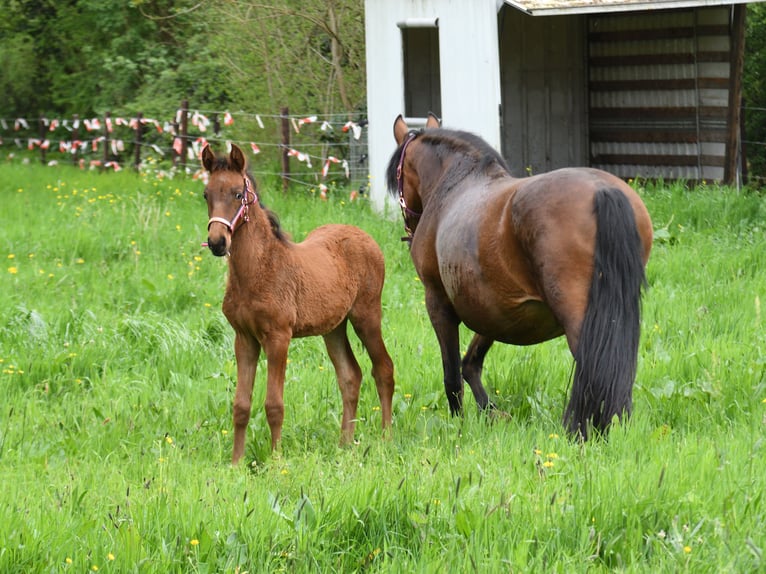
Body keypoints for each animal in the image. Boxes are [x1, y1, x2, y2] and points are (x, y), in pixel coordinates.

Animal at [390, 116, 656, 440]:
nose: (410, 230)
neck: (456, 184)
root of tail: (602, 189)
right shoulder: (495, 309)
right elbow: (471, 363)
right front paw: (489, 412)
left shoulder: (438, 301)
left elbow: (452, 375)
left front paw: (459, 426)